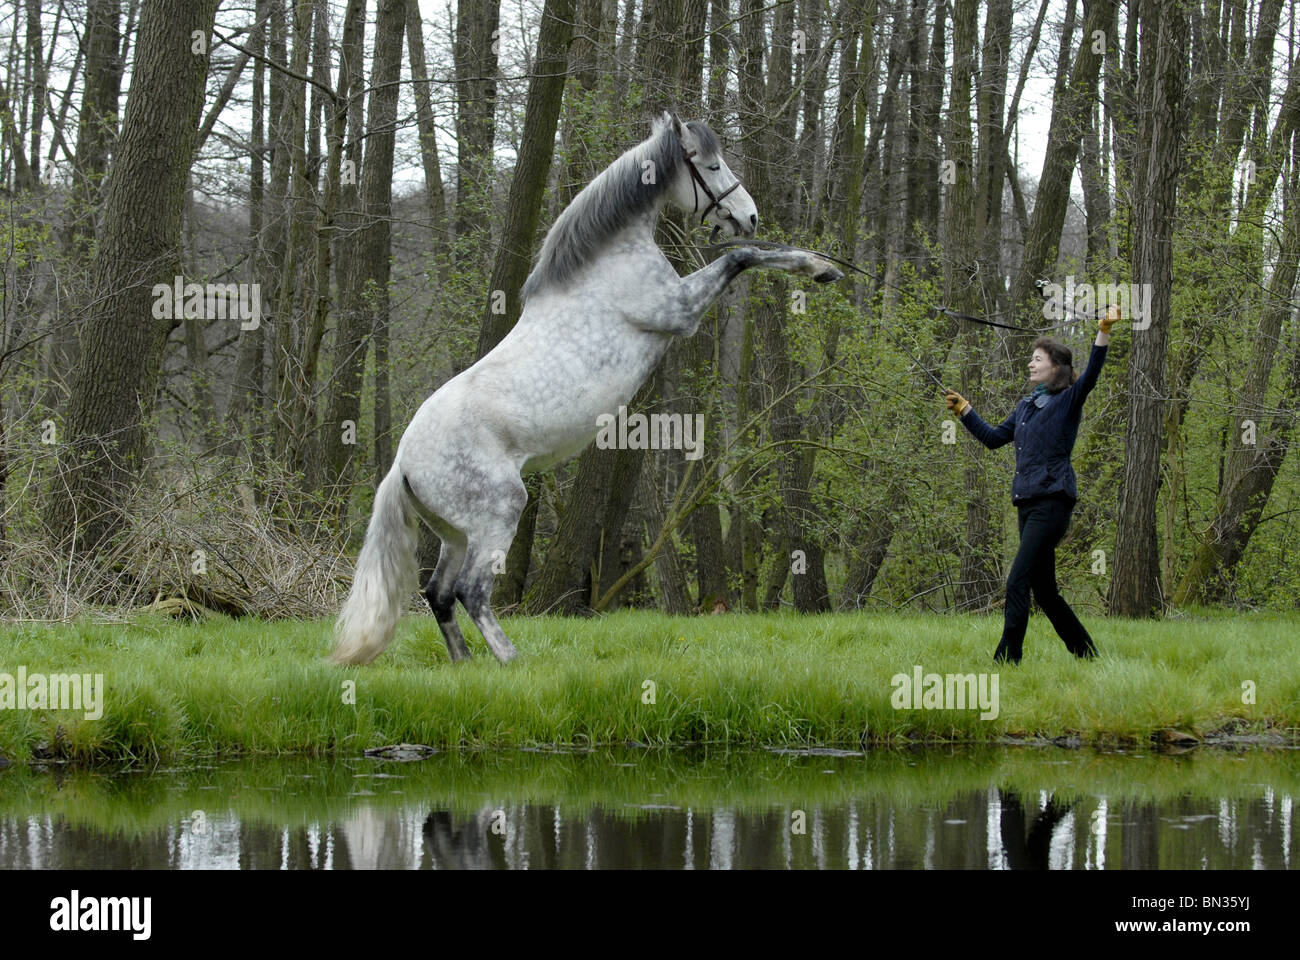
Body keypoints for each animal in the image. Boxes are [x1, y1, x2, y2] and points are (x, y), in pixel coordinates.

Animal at [331, 111, 842, 666]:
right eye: (711, 165)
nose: (749, 216)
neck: (607, 264)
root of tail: (403, 465)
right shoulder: (679, 310)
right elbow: (742, 258)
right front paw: (816, 267)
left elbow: (745, 257)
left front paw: (821, 265)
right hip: (499, 513)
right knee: (472, 591)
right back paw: (511, 662)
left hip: (455, 534)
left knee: (439, 594)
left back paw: (465, 665)